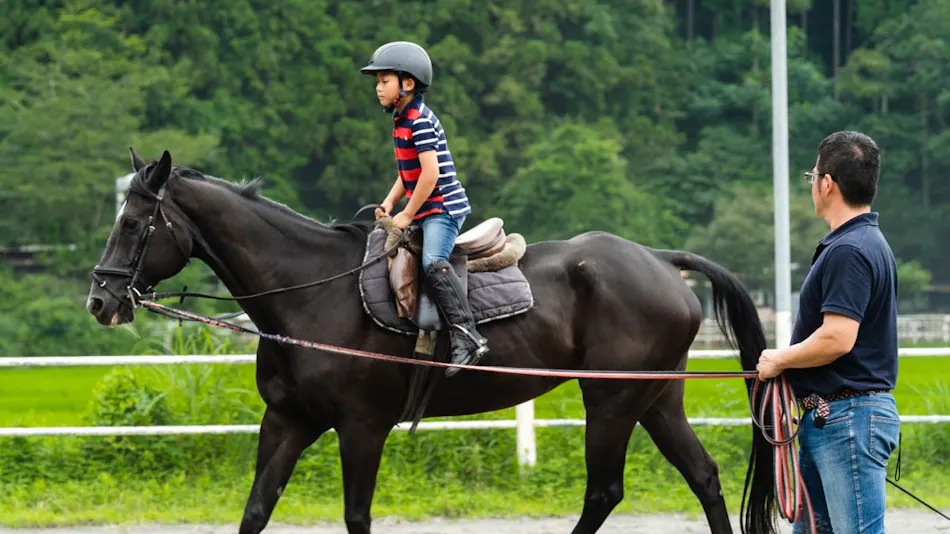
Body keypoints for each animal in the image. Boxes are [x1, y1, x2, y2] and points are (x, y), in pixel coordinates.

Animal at [86, 149, 777, 534]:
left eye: (135, 223)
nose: (100, 299)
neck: (310, 292)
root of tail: (660, 260)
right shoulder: (287, 421)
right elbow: (256, 511)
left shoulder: (362, 427)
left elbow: (357, 516)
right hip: (655, 398)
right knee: (704, 476)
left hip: (610, 403)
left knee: (604, 492)